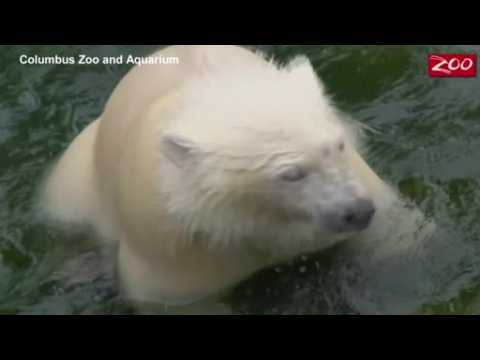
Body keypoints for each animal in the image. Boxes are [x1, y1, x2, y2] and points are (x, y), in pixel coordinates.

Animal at [41, 44, 418, 310]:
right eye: (291, 174)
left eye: (337, 145)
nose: (357, 210)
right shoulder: (171, 246)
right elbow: (176, 301)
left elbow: (393, 235)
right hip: (74, 178)